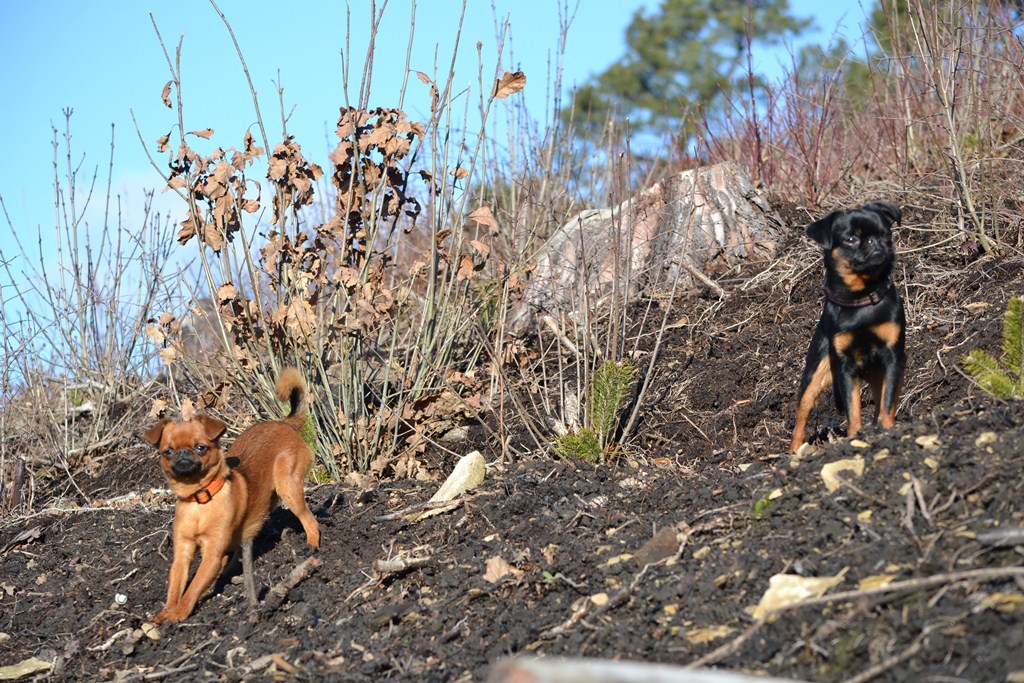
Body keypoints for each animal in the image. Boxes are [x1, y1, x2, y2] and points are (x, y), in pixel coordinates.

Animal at [144, 368, 319, 626]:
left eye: (201, 448)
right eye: (168, 452)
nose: (183, 454)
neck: (199, 499)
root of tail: (282, 423)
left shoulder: (211, 553)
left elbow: (193, 586)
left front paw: (179, 612)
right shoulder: (183, 553)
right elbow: (176, 585)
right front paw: (167, 611)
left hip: (288, 487)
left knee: (310, 521)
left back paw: (311, 548)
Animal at [790, 202, 905, 454]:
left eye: (886, 234)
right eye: (851, 239)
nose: (874, 241)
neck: (861, 296)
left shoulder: (892, 357)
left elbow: (888, 401)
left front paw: (886, 429)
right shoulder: (846, 366)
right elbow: (853, 409)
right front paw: (855, 437)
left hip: (880, 372)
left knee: (881, 397)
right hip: (816, 371)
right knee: (802, 412)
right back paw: (794, 450)